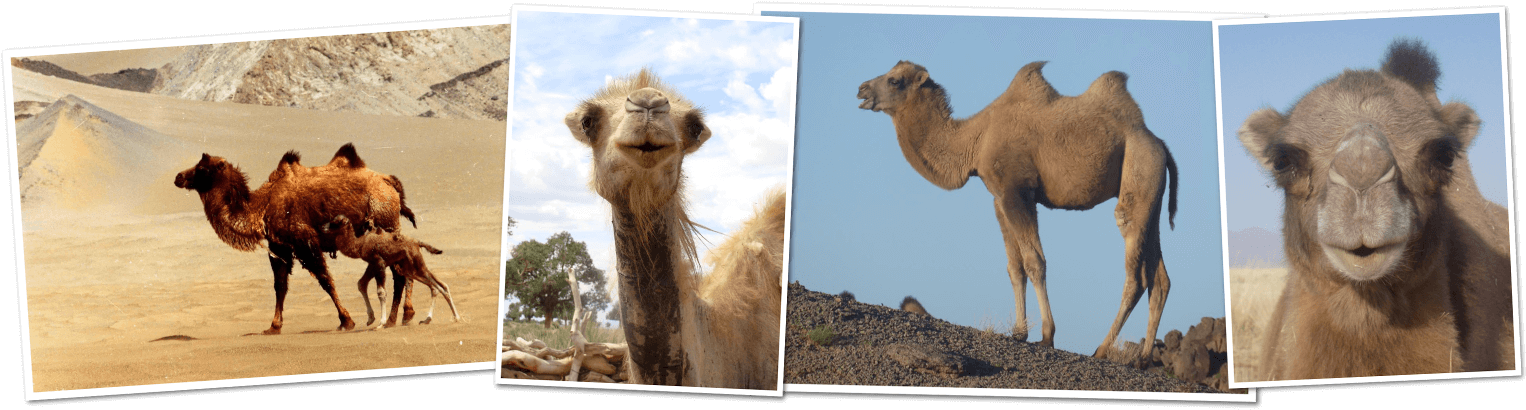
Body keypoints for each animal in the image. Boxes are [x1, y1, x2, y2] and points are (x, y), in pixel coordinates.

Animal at [173, 144, 414, 335]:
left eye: (202, 168)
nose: (178, 177)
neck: (262, 207)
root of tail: (389, 181)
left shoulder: (305, 241)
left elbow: (325, 280)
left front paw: (346, 321)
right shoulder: (280, 247)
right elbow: (280, 285)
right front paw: (273, 326)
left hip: (385, 220)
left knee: (399, 270)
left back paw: (396, 319)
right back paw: (402, 317)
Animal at [320, 215, 460, 328]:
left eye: (334, 222)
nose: (322, 227)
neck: (360, 244)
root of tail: (417, 242)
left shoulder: (379, 262)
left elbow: (381, 292)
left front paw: (381, 323)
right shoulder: (372, 264)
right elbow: (361, 283)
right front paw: (370, 319)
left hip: (415, 265)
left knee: (437, 287)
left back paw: (446, 318)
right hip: (411, 268)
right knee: (439, 285)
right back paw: (442, 318)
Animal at [857, 61, 1180, 360]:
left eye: (895, 80)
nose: (861, 89)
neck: (976, 138)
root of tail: (1160, 145)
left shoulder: (1017, 191)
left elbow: (1035, 262)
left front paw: (1047, 335)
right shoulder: (999, 198)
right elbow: (1015, 267)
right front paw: (1019, 332)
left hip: (1139, 171)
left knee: (1135, 272)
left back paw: (1101, 350)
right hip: (1150, 194)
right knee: (1160, 278)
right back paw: (1142, 359)